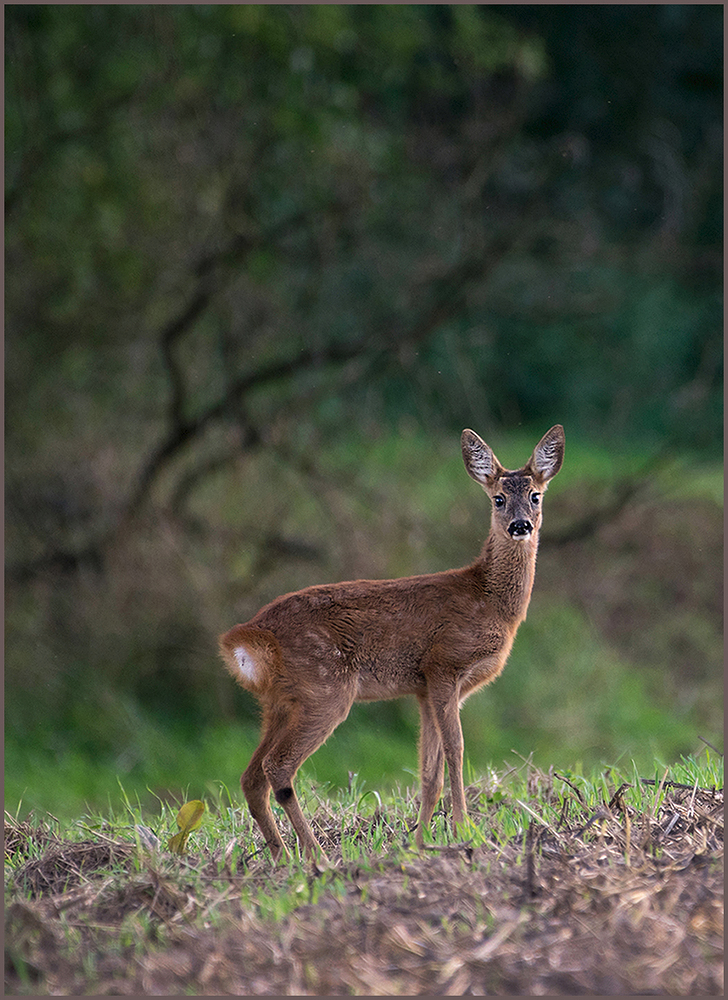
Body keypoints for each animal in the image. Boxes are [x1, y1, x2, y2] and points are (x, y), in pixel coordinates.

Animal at [219, 422, 564, 860]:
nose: (521, 525)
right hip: (324, 689)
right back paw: (316, 855)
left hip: (279, 701)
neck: (490, 601)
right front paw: (466, 830)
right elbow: (456, 750)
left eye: (536, 496)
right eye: (499, 499)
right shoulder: (444, 664)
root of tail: (250, 635)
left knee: (251, 776)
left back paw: (281, 854)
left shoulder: (423, 688)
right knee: (277, 767)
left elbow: (429, 770)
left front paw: (422, 843)